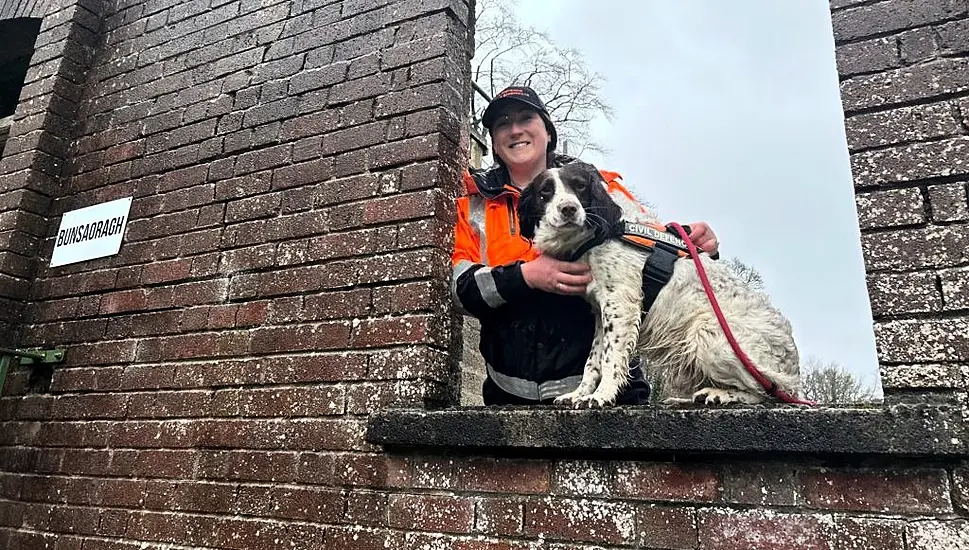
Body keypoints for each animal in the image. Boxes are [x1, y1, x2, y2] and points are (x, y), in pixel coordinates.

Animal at [520, 162, 796, 408]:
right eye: (546, 191)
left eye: (579, 186)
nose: (568, 209)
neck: (602, 232)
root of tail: (794, 368)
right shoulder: (601, 312)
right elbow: (593, 361)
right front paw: (579, 394)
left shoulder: (621, 306)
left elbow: (610, 359)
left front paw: (600, 396)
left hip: (706, 333)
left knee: (765, 391)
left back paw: (719, 395)